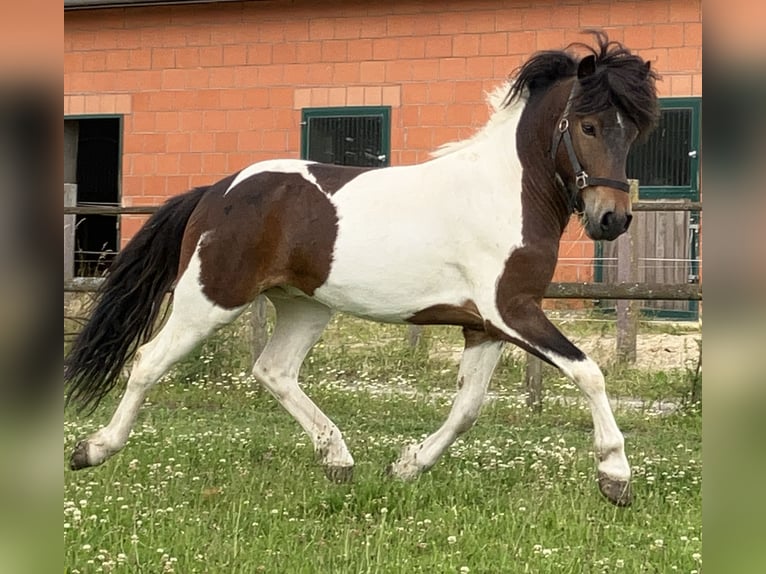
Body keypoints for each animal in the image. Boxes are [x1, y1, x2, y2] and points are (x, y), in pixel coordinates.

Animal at [65, 32, 658, 506]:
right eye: (587, 125)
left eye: (633, 132)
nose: (612, 219)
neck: (506, 192)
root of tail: (217, 191)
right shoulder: (511, 311)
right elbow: (588, 372)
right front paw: (615, 476)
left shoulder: (485, 326)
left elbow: (467, 407)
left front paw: (407, 466)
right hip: (210, 299)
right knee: (148, 360)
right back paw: (91, 450)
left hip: (304, 307)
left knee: (273, 370)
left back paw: (339, 459)